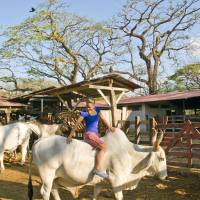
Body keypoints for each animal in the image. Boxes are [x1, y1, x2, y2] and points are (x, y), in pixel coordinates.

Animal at [27, 129, 166, 199]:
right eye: (162, 158)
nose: (165, 176)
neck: (128, 152)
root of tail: (39, 141)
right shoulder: (117, 181)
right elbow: (119, 197)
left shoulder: (100, 183)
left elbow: (95, 195)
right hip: (47, 176)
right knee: (45, 192)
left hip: (54, 177)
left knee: (54, 191)